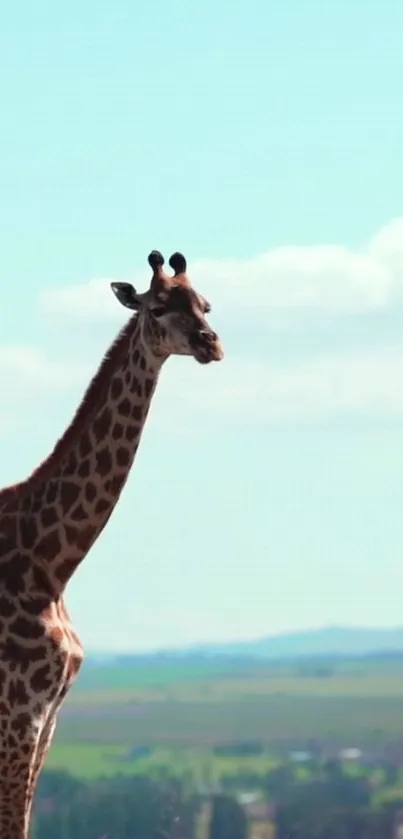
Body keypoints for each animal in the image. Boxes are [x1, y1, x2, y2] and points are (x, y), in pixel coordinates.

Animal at [0, 249, 224, 839]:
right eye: (159, 306)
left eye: (206, 303)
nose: (212, 343)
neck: (55, 565)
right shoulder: (18, 710)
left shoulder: (50, 714)